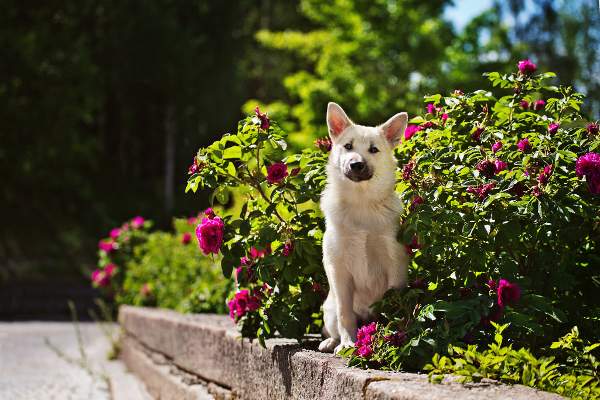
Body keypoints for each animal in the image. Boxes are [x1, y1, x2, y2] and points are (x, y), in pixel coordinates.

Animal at [318, 102, 412, 354]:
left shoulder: (395, 265)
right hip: (329, 307)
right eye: (348, 146)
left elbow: (395, 307)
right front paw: (348, 343)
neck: (362, 203)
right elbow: (346, 315)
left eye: (373, 149)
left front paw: (396, 335)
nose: (356, 164)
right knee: (333, 325)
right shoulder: (339, 271)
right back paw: (332, 342)